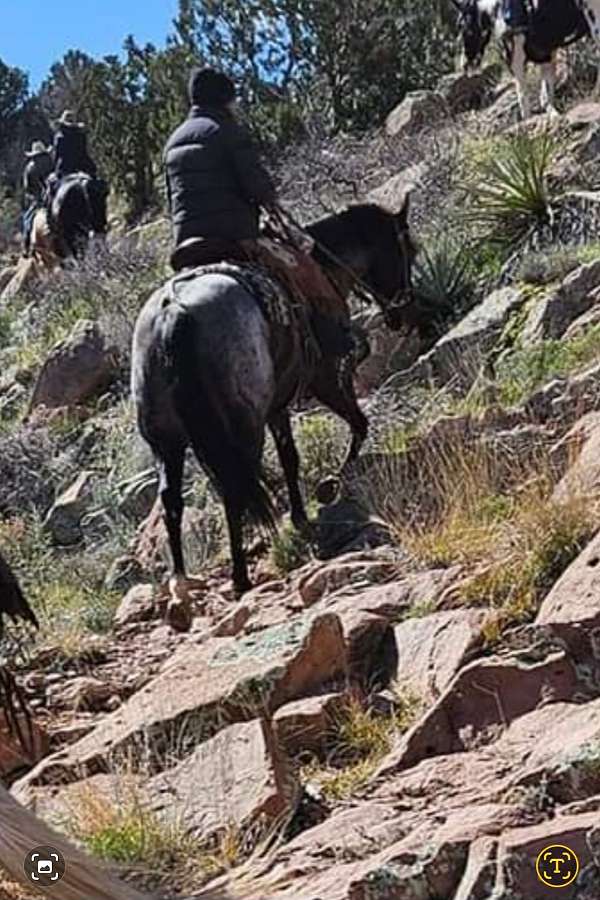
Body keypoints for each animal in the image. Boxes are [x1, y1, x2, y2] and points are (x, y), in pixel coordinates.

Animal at [132, 200, 418, 600]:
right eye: (408, 249)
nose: (404, 313)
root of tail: (174, 313)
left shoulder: (278, 406)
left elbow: (289, 458)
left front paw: (300, 514)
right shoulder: (326, 378)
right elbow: (358, 424)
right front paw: (332, 483)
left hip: (165, 439)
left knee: (172, 498)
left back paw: (181, 582)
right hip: (243, 427)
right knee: (235, 490)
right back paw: (240, 576)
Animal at [454, 0, 600, 118]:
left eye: (461, 25)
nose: (463, 65)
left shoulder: (516, 63)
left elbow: (524, 101)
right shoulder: (545, 58)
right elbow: (546, 98)